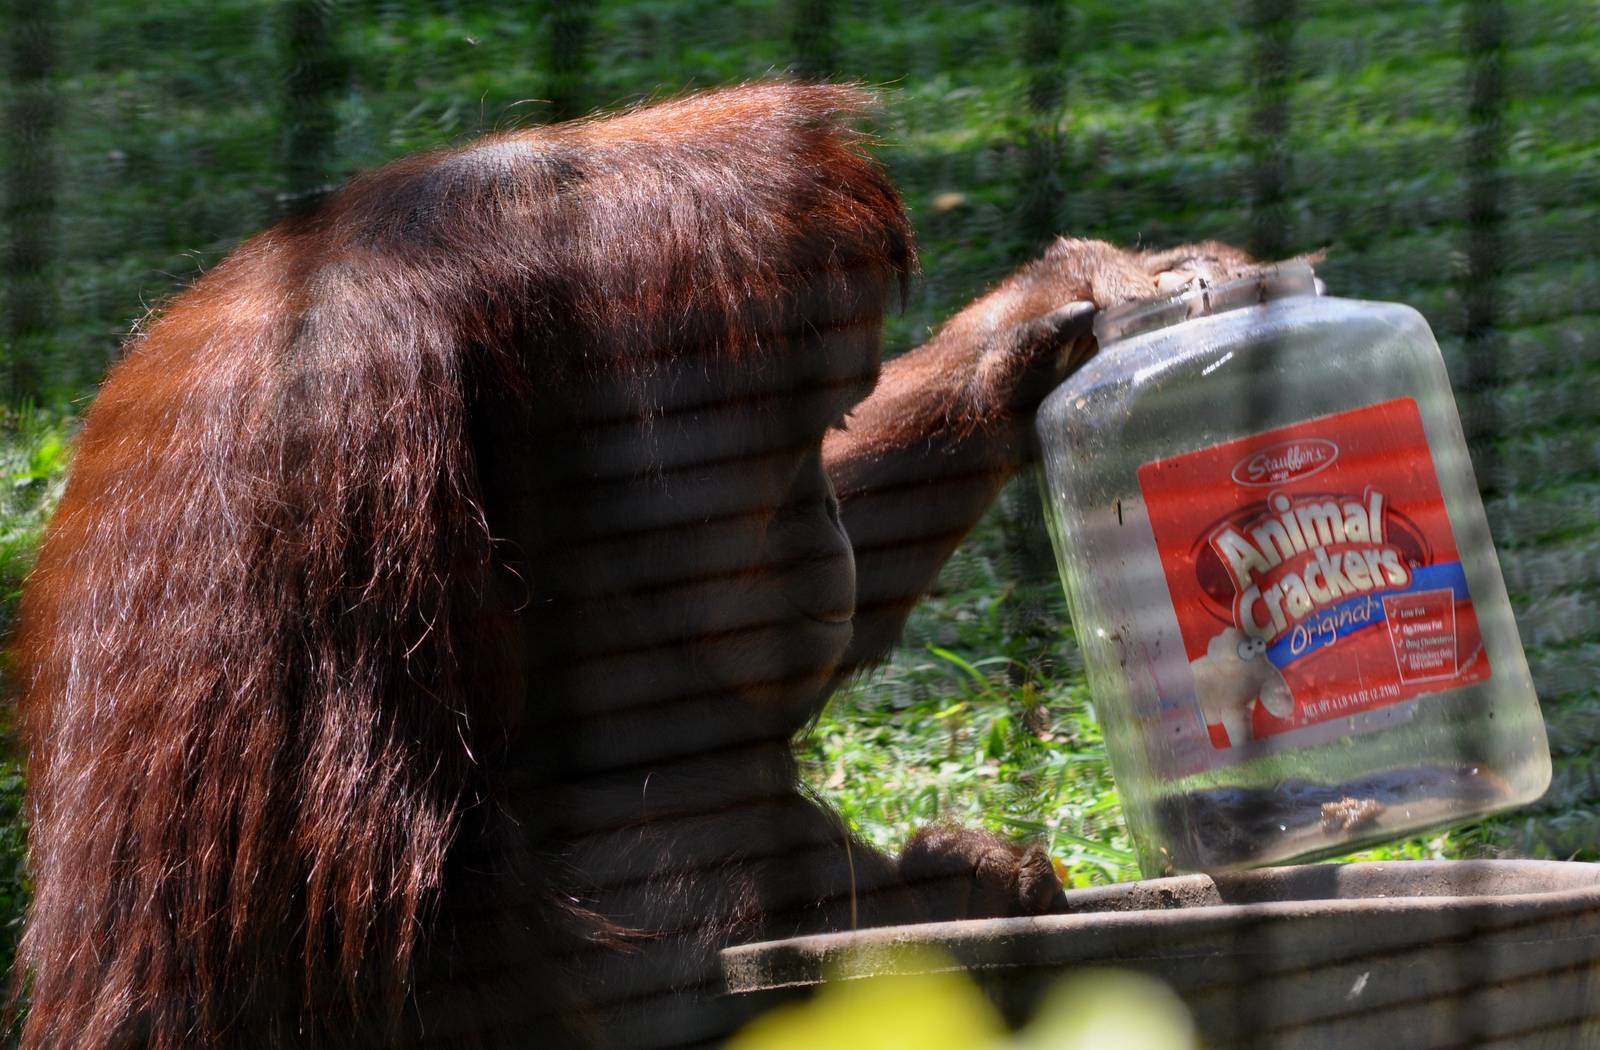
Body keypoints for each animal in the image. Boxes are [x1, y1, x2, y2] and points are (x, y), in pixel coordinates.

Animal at [9, 82, 1258, 1048]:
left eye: (838, 415)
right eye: (802, 427)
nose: (821, 530)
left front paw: (1069, 313)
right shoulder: (348, 459)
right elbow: (384, 946)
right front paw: (939, 889)